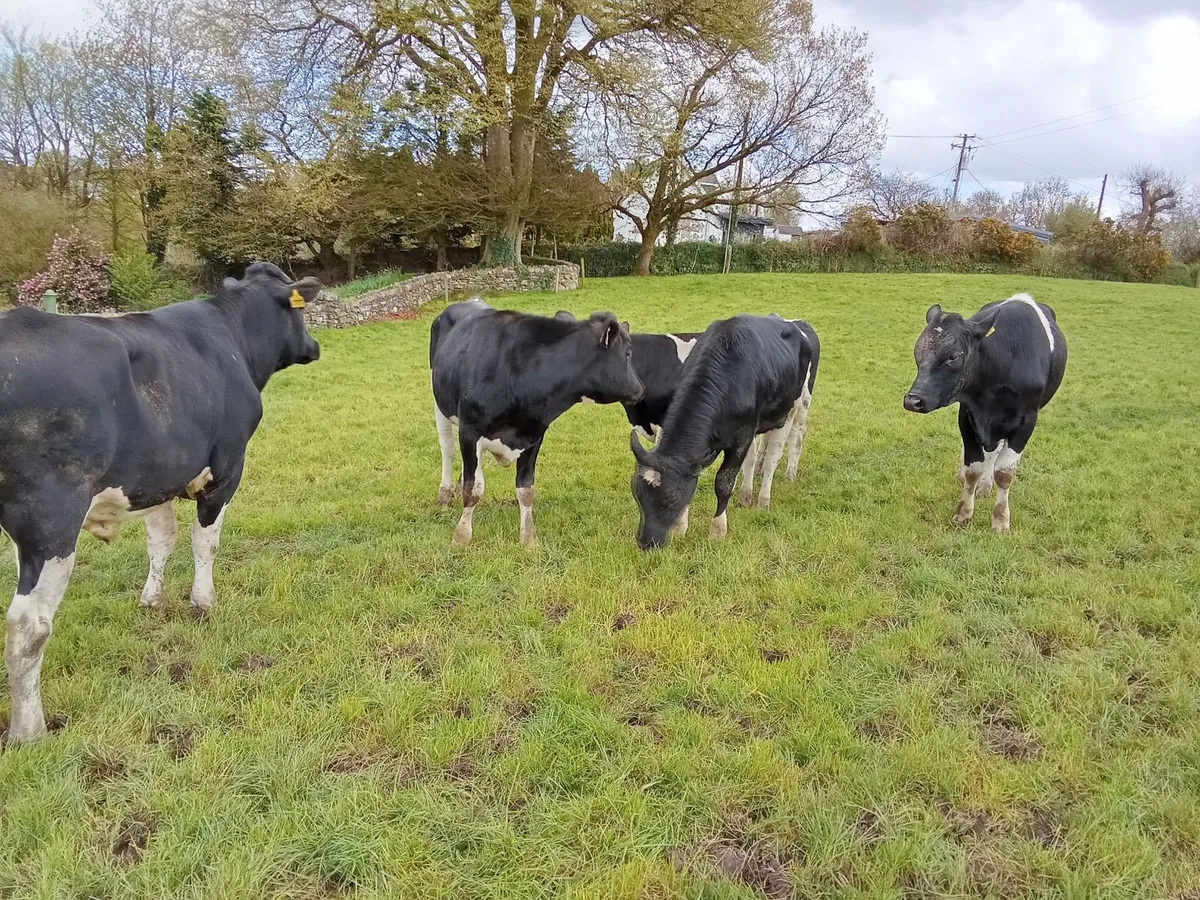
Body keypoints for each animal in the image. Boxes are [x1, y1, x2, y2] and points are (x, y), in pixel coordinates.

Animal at [1, 262, 322, 743]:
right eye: (300, 312)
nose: (315, 346)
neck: (232, 339)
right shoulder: (226, 468)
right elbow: (205, 541)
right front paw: (203, 601)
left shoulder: (156, 477)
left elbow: (162, 539)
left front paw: (152, 600)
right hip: (50, 520)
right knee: (29, 626)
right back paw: (29, 730)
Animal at [431, 298, 644, 548]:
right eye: (628, 353)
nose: (640, 390)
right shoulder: (470, 431)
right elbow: (473, 489)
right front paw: (461, 535)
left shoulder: (533, 434)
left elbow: (526, 489)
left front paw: (529, 538)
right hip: (440, 404)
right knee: (448, 450)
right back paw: (444, 495)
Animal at [629, 314, 815, 550]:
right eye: (637, 494)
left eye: (670, 499)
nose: (646, 542)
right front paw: (681, 528)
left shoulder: (741, 438)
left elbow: (724, 482)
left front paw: (718, 530)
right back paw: (748, 492)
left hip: (795, 408)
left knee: (780, 450)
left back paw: (768, 495)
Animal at [903, 292, 1067, 532]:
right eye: (918, 351)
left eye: (953, 356)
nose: (913, 400)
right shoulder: (967, 414)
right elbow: (974, 468)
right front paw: (964, 512)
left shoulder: (1027, 420)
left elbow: (1005, 472)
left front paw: (1000, 520)